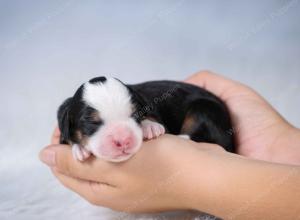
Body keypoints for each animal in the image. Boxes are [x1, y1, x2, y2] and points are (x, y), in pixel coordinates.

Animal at [56, 77, 234, 162]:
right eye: (91, 122)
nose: (123, 140)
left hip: (204, 109)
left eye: (135, 115)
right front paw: (79, 148)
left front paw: (150, 127)